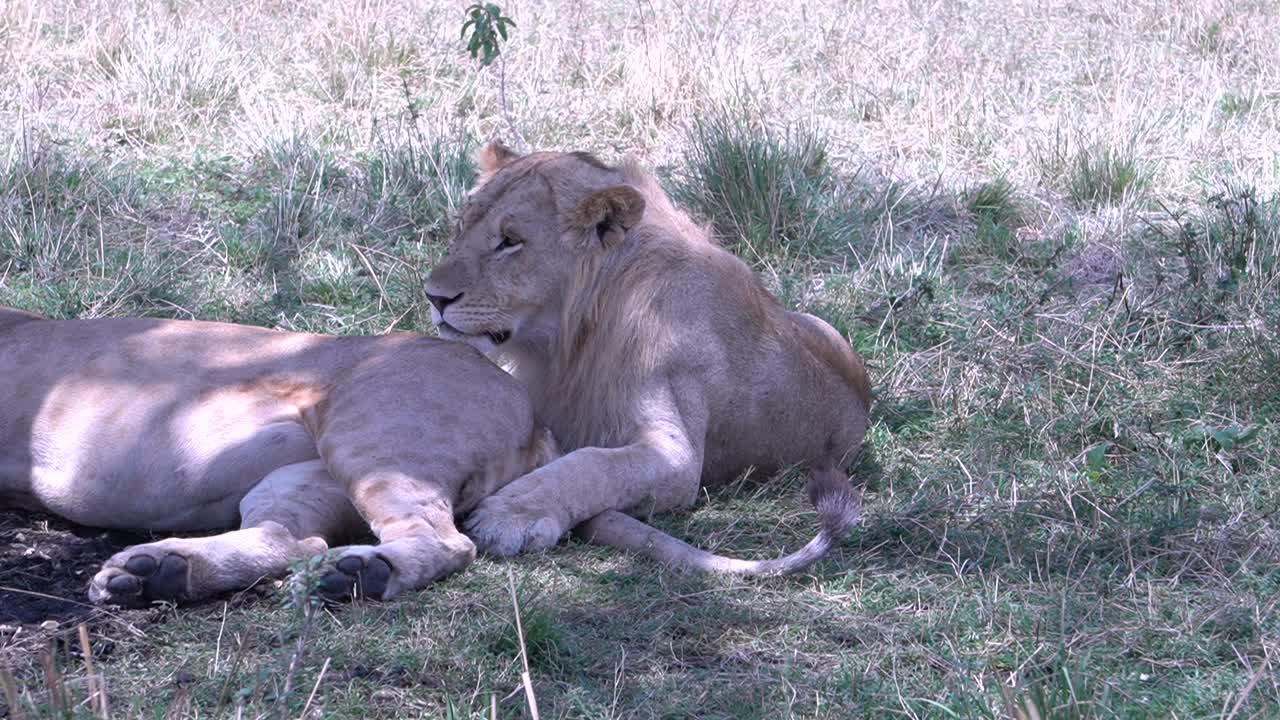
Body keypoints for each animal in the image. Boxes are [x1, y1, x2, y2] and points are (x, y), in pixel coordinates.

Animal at [2, 304, 558, 602]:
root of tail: (533, 412)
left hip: (375, 440)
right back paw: (157, 573)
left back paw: (361, 572)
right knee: (289, 538)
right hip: (304, 478)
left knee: (446, 541)